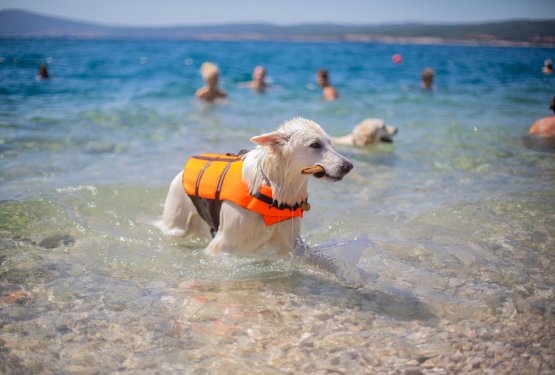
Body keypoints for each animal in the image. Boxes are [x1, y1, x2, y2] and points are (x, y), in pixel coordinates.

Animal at [157, 119, 352, 258]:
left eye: (330, 143)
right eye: (315, 144)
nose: (349, 166)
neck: (274, 188)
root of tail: (181, 171)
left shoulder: (292, 243)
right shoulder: (222, 245)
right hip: (176, 220)